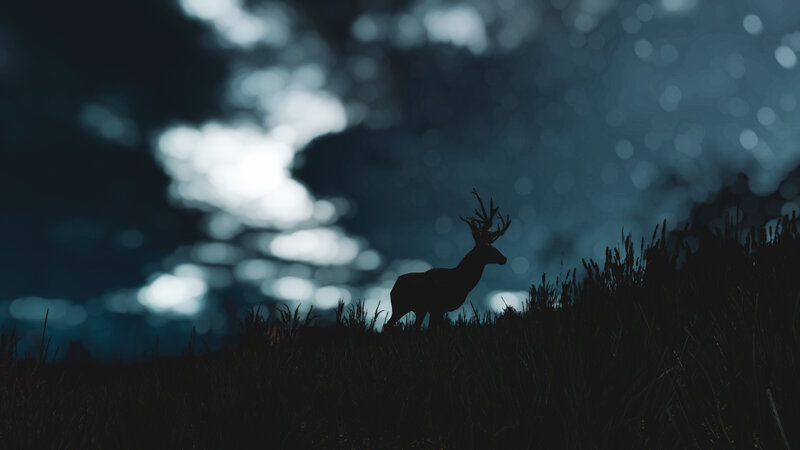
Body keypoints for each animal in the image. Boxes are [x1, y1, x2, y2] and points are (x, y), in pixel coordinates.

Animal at [385, 188, 512, 330]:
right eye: (488, 248)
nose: (504, 258)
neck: (460, 281)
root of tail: (393, 287)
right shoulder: (437, 307)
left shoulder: (438, 310)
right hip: (400, 306)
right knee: (387, 325)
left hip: (417, 309)